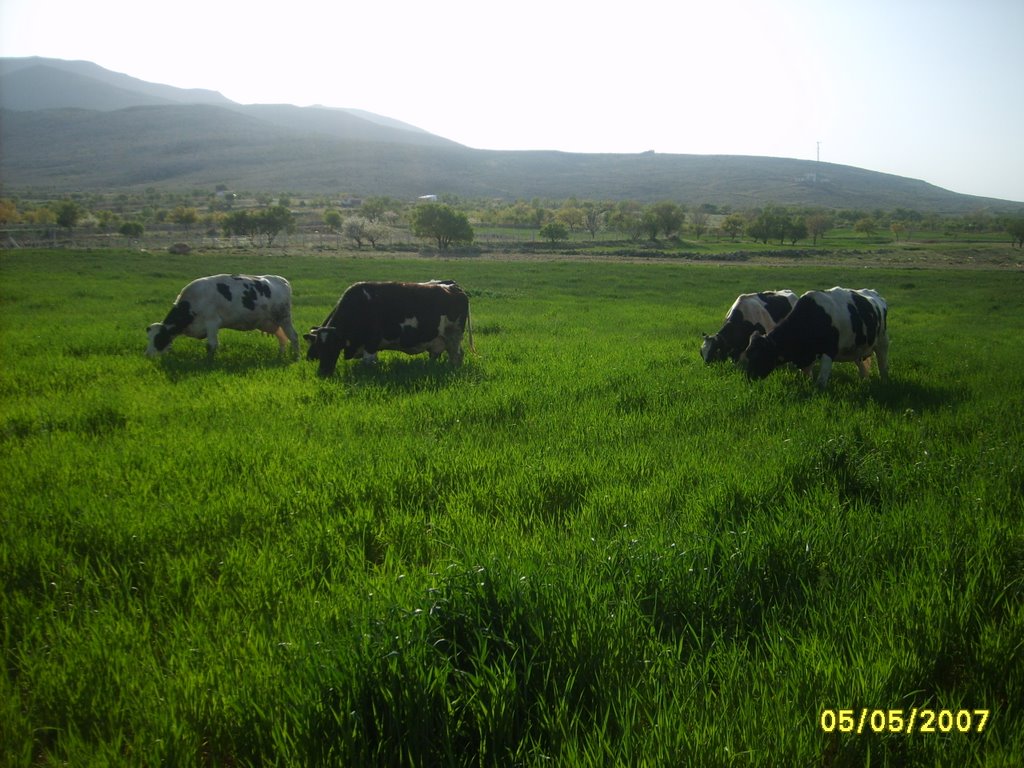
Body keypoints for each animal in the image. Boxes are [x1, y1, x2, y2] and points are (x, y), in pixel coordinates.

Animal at [144, 274, 299, 360]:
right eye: (149, 338)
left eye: (158, 339)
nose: (148, 355)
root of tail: (281, 280)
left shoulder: (212, 322)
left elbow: (211, 345)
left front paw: (208, 362)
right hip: (272, 323)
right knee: (282, 339)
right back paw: (280, 356)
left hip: (284, 318)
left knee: (293, 337)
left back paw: (296, 357)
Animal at [305, 280, 473, 380]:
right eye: (318, 347)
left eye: (334, 347)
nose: (322, 373)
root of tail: (454, 287)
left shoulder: (371, 343)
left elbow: (368, 363)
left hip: (454, 335)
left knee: (456, 355)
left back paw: (453, 369)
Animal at [737, 286, 888, 387]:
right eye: (748, 354)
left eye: (759, 355)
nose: (749, 378)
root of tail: (874, 294)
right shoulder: (806, 356)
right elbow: (807, 376)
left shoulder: (829, 351)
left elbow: (821, 382)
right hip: (858, 349)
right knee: (862, 367)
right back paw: (864, 381)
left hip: (882, 342)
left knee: (882, 365)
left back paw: (884, 382)